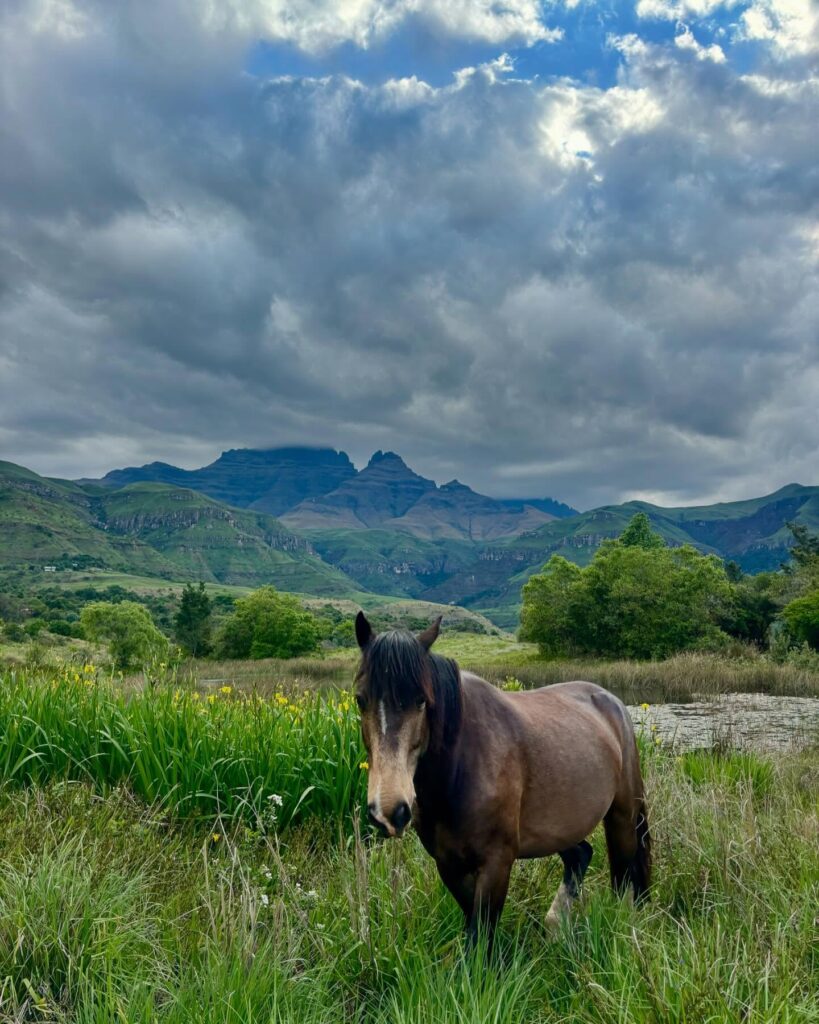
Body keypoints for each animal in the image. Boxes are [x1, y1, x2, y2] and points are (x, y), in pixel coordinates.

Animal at [353, 611, 651, 945]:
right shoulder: (448, 863)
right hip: (558, 827)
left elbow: (479, 937)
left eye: (421, 700)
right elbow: (475, 929)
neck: (460, 769)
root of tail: (611, 702)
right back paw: (556, 925)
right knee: (580, 854)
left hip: (622, 816)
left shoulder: (497, 862)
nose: (390, 811)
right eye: (360, 700)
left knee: (625, 879)